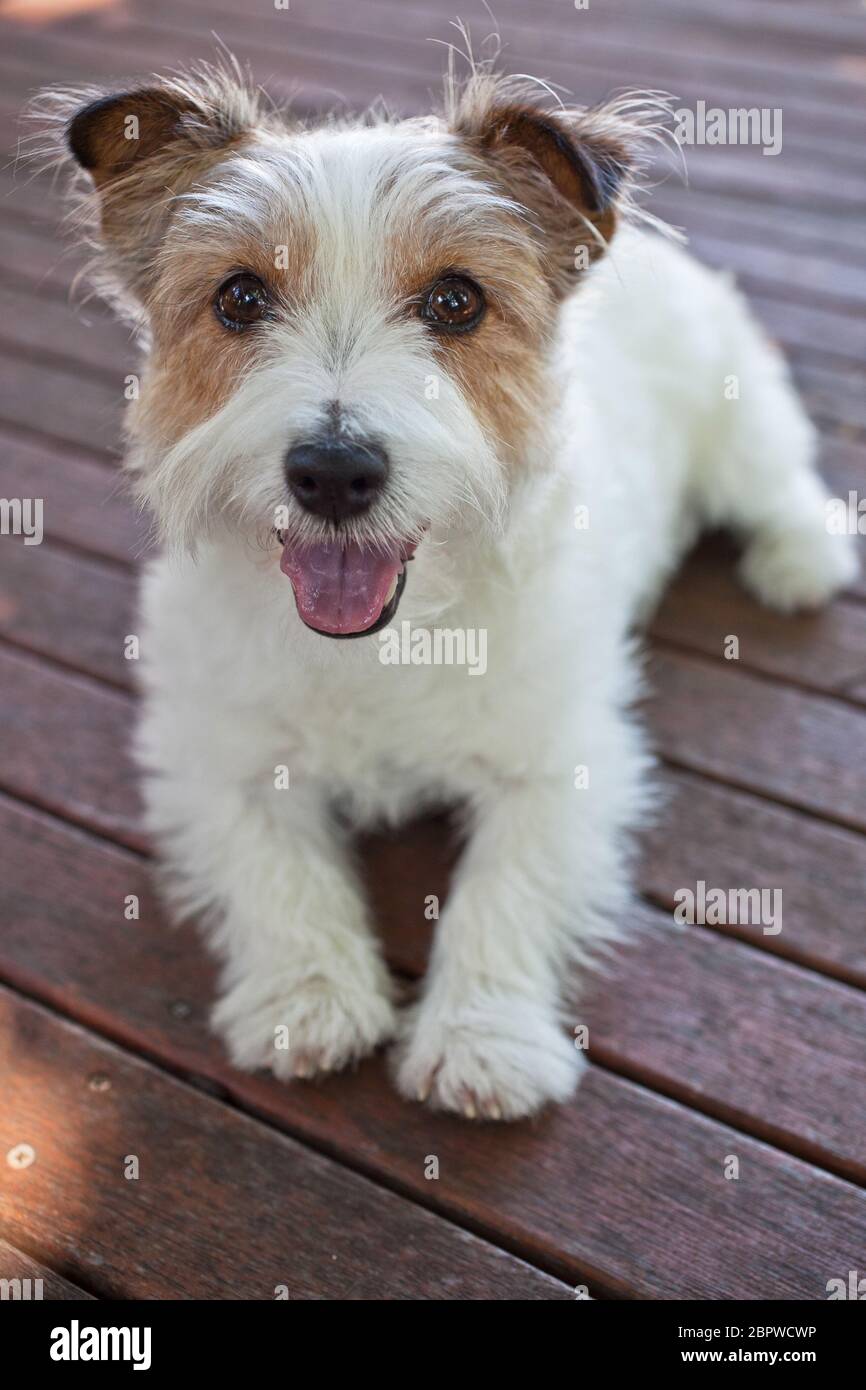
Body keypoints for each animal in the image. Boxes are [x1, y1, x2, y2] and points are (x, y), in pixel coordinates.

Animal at [40, 54, 856, 1123]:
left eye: (457, 302)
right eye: (241, 298)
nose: (333, 473)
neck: (387, 640)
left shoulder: (559, 767)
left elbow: (503, 892)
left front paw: (483, 1039)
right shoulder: (214, 757)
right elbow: (278, 872)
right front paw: (309, 999)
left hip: (742, 424)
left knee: (781, 484)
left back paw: (798, 562)